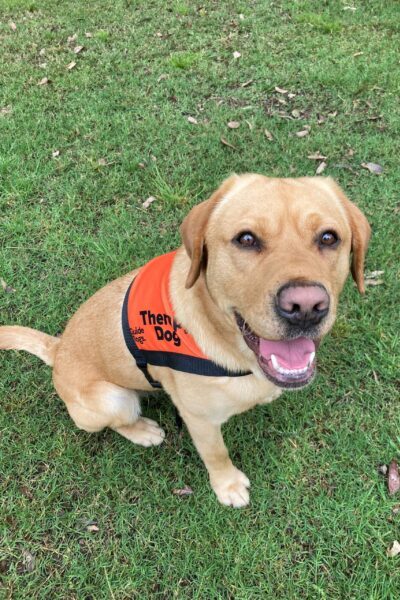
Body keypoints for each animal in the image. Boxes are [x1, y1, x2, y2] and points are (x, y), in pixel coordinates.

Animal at [0, 175, 370, 506]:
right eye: (246, 239)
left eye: (328, 237)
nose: (305, 307)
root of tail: (58, 347)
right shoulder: (199, 419)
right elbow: (216, 453)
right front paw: (228, 486)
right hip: (112, 399)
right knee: (116, 421)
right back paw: (143, 430)